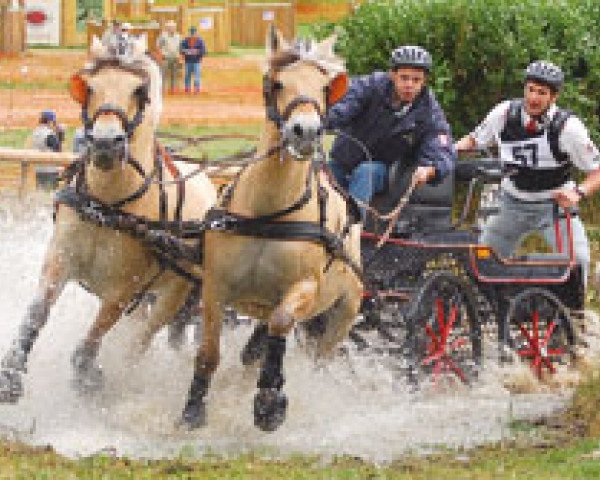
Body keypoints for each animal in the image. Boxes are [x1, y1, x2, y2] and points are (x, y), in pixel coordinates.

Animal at [0, 34, 218, 402]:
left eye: (139, 91)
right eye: (87, 87)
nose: (105, 143)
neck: (105, 206)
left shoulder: (123, 288)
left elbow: (90, 343)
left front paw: (90, 378)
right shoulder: (59, 260)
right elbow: (36, 314)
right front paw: (11, 375)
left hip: (175, 291)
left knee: (143, 339)